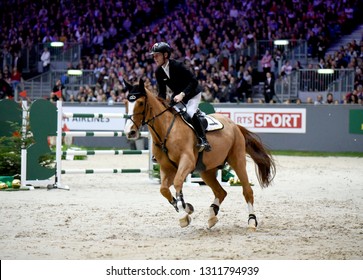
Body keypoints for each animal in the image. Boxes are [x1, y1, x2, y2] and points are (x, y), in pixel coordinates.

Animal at [124, 79, 276, 230]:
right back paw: (212, 216)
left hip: (237, 160)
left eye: (140, 103)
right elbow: (164, 189)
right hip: (207, 170)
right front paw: (186, 208)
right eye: (126, 103)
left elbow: (177, 182)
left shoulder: (187, 162)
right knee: (221, 192)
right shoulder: (167, 167)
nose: (129, 132)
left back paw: (251, 221)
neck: (166, 130)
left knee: (247, 191)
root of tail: (234, 125)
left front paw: (184, 213)